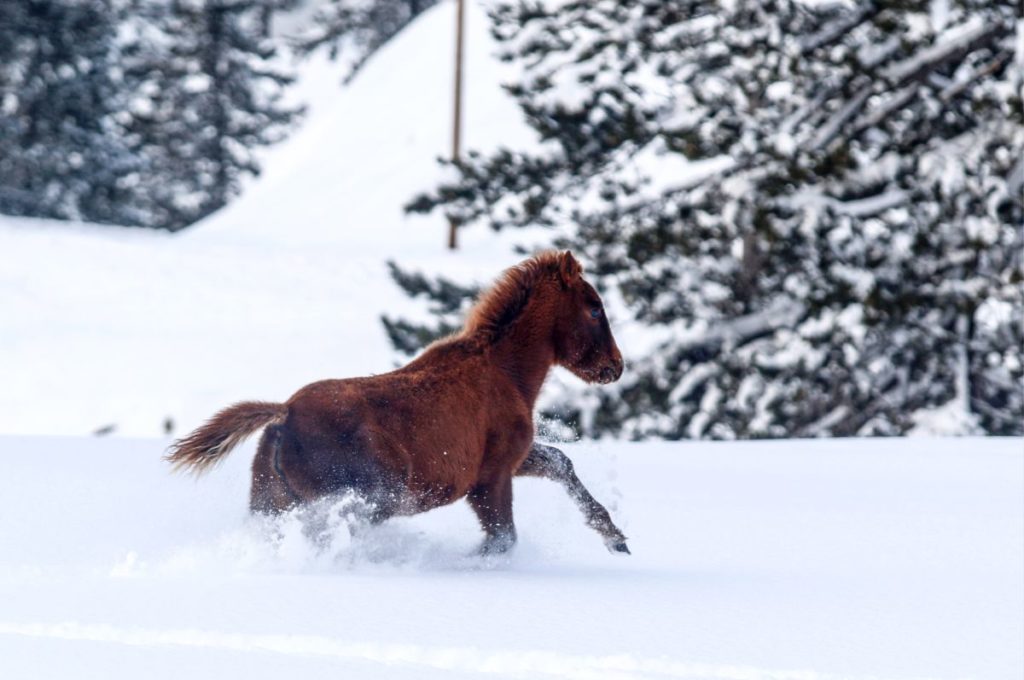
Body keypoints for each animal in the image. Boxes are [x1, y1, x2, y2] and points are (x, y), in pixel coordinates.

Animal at [166, 251, 626, 557]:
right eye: (594, 308)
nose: (615, 367)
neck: (505, 372)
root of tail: (284, 416)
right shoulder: (491, 477)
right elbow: (502, 539)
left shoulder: (513, 460)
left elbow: (560, 463)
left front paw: (615, 537)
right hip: (372, 498)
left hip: (275, 503)